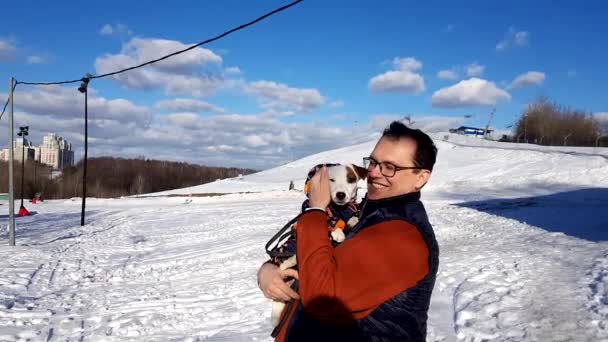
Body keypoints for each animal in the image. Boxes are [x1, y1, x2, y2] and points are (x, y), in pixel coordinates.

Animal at [270, 164, 366, 328]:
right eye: (331, 179)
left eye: (351, 179)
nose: (341, 195)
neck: (340, 209)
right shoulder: (312, 208)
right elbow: (328, 217)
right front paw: (337, 232)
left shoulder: (352, 207)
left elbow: (355, 214)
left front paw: (353, 220)